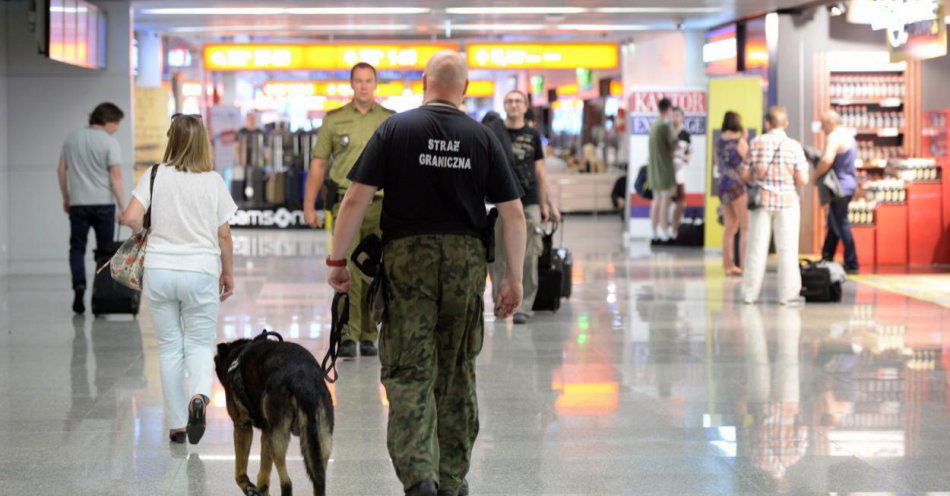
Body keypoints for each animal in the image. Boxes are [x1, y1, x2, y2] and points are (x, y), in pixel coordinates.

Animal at [216, 332, 334, 496]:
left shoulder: (242, 427)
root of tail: (303, 379)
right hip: (321, 441)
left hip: (278, 439)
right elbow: (263, 477)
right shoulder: (266, 433)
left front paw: (248, 487)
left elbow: (240, 470)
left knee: (287, 483)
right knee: (318, 481)